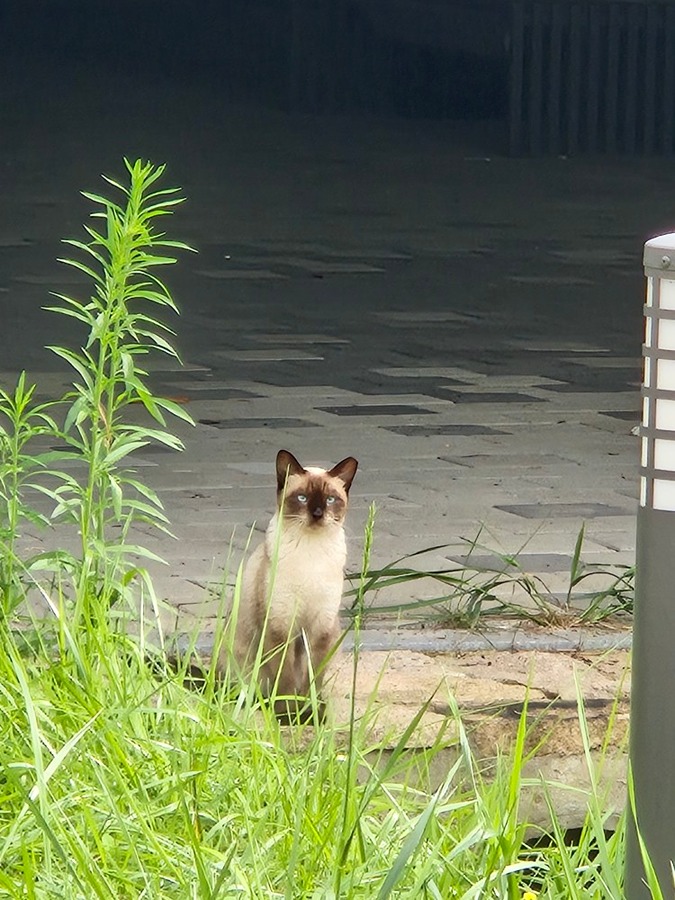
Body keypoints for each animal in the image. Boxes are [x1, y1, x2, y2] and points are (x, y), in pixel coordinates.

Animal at [232, 448, 360, 716]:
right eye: (302, 498)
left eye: (330, 500)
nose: (318, 514)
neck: (311, 553)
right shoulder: (281, 626)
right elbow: (286, 676)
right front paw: (288, 713)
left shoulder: (321, 628)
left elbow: (313, 676)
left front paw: (311, 711)